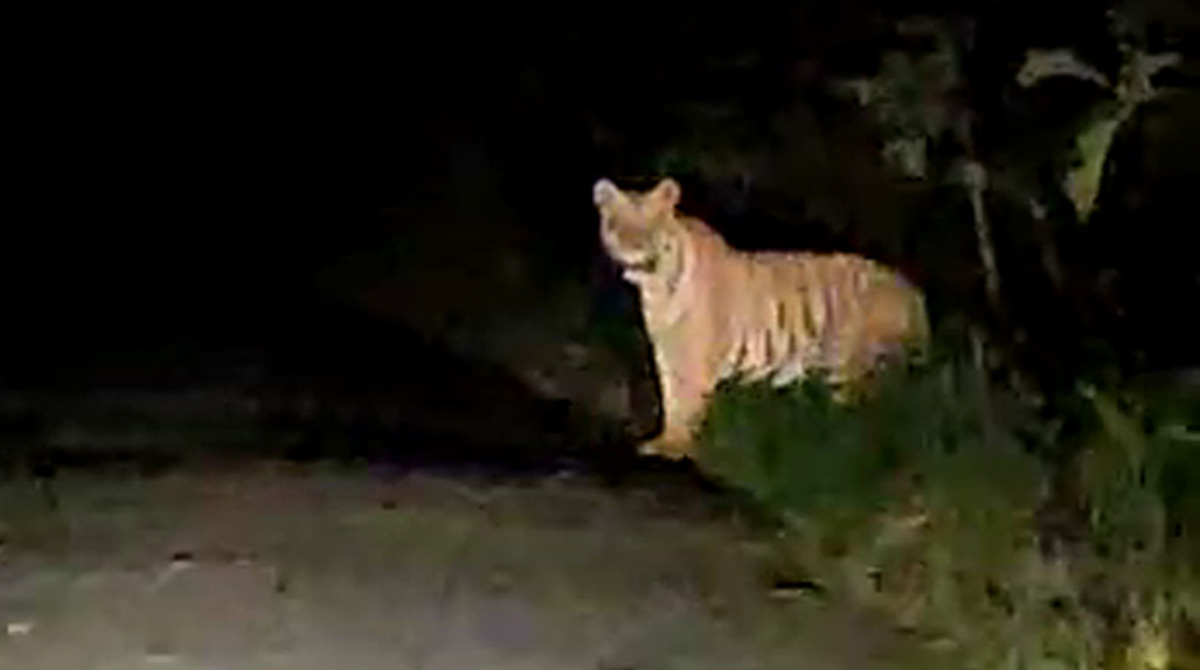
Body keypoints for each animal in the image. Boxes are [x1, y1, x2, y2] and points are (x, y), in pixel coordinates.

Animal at [593, 176, 930, 461]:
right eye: (617, 224)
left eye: (649, 223)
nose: (632, 248)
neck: (655, 285)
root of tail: (912, 291)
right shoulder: (667, 351)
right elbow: (671, 398)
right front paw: (665, 440)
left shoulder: (696, 357)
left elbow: (686, 402)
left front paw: (675, 447)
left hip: (851, 365)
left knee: (864, 418)